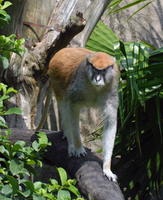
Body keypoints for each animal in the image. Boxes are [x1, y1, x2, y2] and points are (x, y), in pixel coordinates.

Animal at [36, 48, 119, 181]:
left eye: (103, 71)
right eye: (95, 70)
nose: (98, 79)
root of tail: (61, 51)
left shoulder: (112, 92)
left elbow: (110, 124)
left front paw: (107, 168)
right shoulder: (78, 89)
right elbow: (73, 110)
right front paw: (79, 148)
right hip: (56, 79)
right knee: (65, 107)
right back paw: (71, 145)